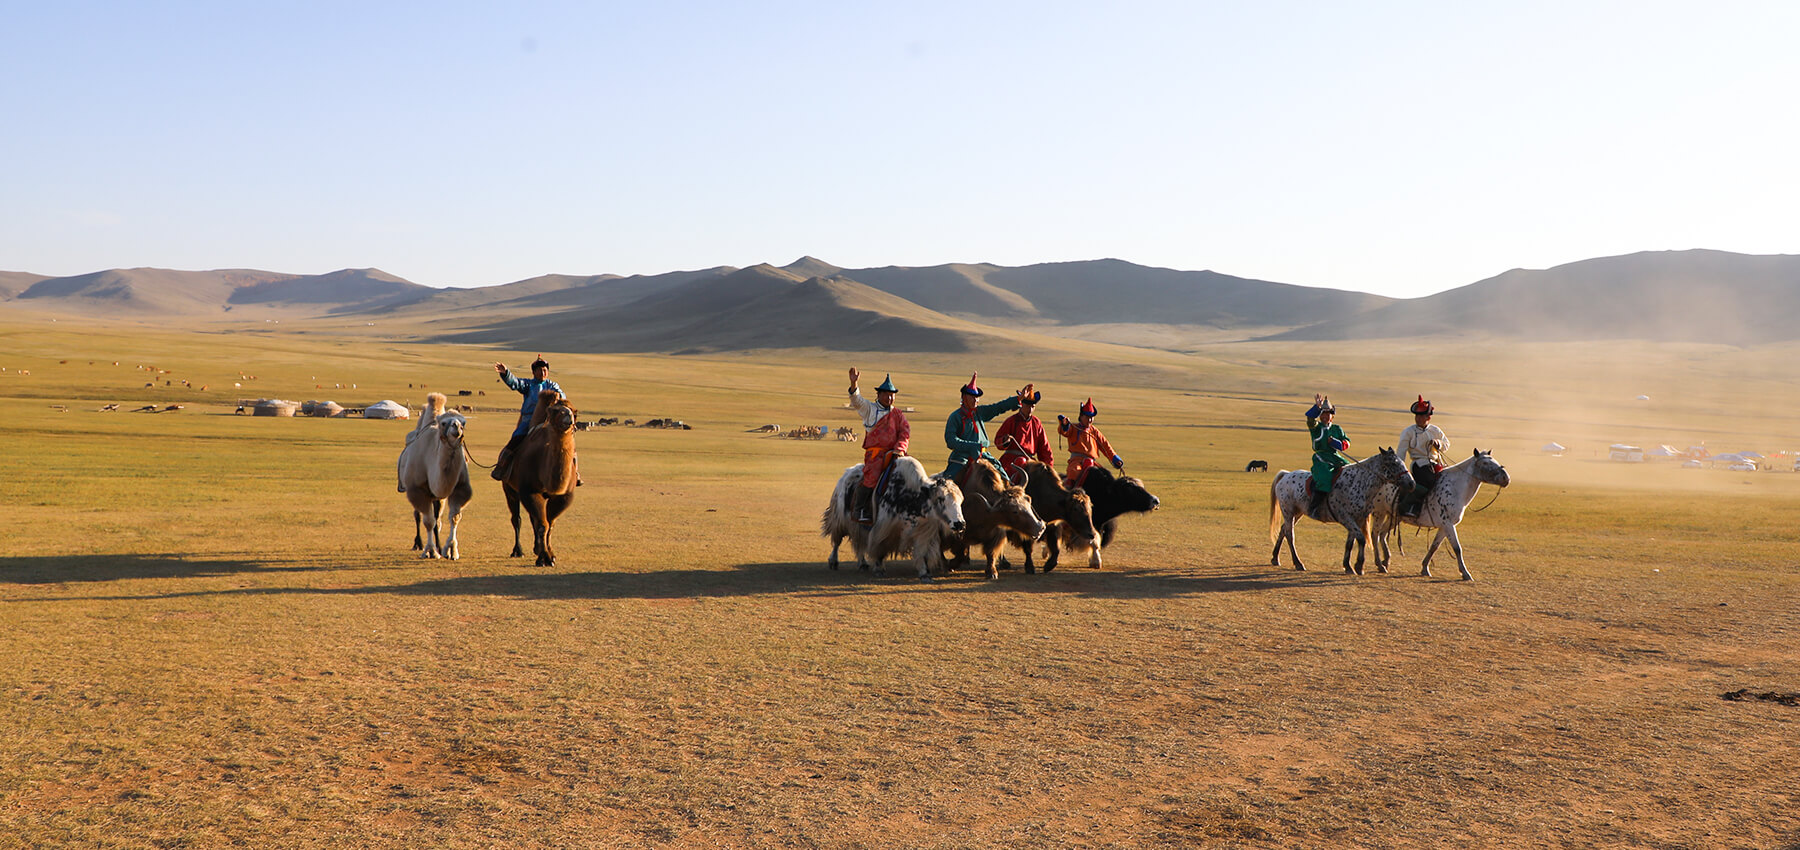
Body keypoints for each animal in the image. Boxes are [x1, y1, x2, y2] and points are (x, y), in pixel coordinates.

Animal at [396, 392, 471, 565]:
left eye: (464, 422)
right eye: (443, 423)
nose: (457, 427)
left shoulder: (459, 488)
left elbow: (454, 518)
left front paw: (450, 550)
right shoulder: (417, 490)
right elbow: (428, 521)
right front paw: (430, 551)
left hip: (438, 497)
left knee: (438, 518)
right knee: (418, 515)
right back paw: (418, 543)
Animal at [1274, 444, 1411, 576]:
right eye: (1393, 463)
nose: (1412, 483)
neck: (1358, 484)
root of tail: (1286, 475)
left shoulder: (1356, 519)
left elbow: (1350, 543)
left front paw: (1348, 566)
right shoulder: (1346, 517)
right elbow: (1361, 539)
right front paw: (1359, 565)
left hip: (1298, 513)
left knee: (1283, 529)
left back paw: (1275, 558)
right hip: (1288, 512)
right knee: (1289, 534)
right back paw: (1298, 563)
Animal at [1368, 448, 1512, 579]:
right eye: (1485, 463)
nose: (1506, 478)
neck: (1455, 488)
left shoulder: (1444, 527)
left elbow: (1434, 547)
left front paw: (1425, 568)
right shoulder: (1448, 524)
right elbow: (1457, 548)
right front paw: (1465, 573)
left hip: (1393, 516)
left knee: (1382, 534)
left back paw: (1386, 561)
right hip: (1379, 513)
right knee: (1375, 534)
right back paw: (1380, 564)